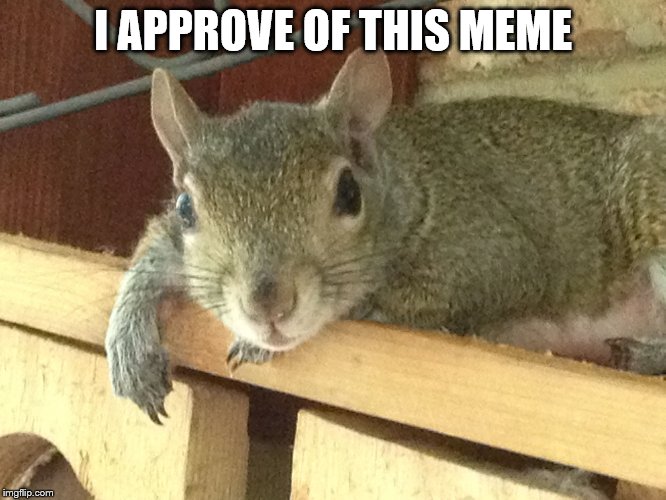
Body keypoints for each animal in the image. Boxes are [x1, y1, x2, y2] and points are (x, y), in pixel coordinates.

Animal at [105, 48, 666, 423]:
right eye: (185, 208)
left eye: (349, 193)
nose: (268, 305)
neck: (406, 180)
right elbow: (152, 252)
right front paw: (128, 337)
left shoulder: (489, 250)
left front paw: (263, 343)